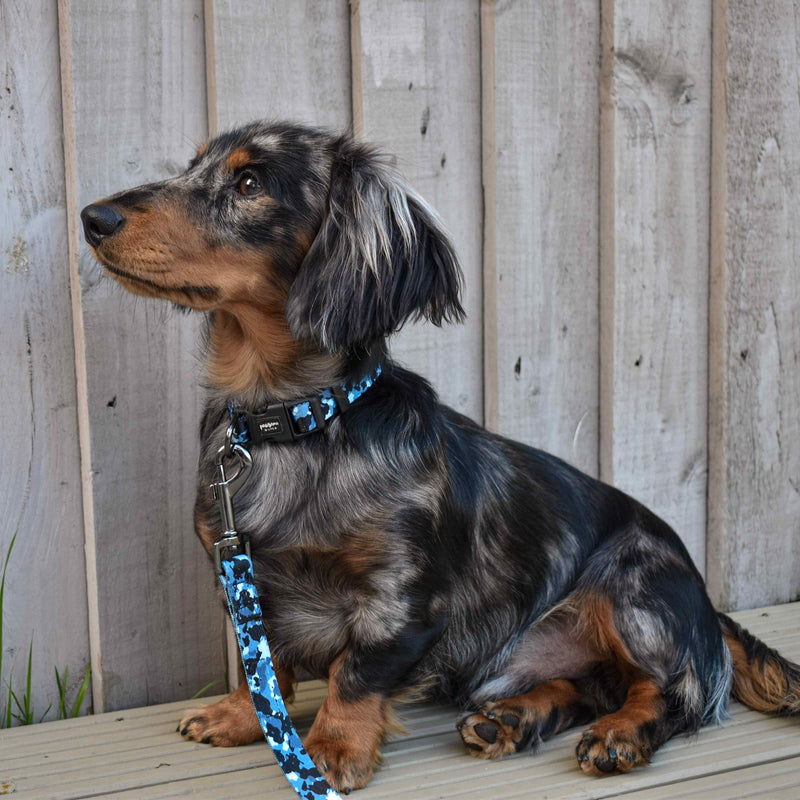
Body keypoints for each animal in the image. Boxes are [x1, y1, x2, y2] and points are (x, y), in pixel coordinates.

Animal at [79, 122, 800, 792]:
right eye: (190, 166)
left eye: (250, 182)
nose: (93, 218)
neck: (294, 423)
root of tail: (705, 604)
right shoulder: (251, 580)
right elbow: (268, 663)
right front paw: (237, 715)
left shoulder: (402, 600)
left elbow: (355, 674)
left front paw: (331, 748)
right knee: (585, 686)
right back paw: (513, 719)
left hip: (633, 588)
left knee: (671, 692)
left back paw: (620, 735)